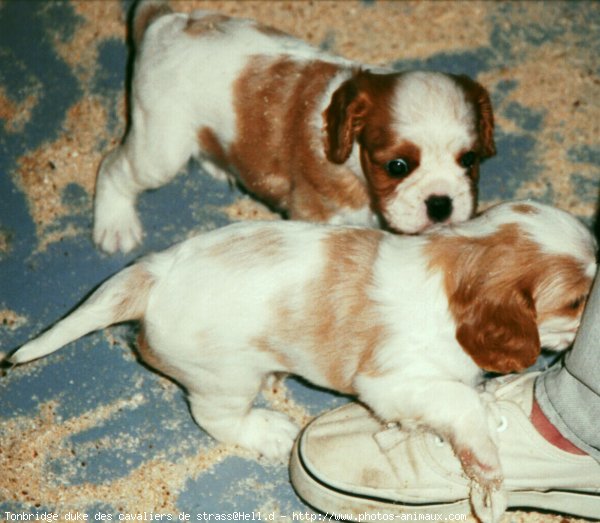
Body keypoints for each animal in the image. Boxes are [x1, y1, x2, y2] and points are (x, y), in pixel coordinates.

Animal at [8, 202, 596, 523]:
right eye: (576, 302)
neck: (457, 264)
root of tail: (152, 274)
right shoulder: (392, 380)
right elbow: (458, 403)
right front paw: (489, 466)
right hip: (225, 377)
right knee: (215, 417)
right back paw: (268, 431)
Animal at [95, 0, 496, 254]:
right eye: (397, 166)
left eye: (469, 160)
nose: (441, 204)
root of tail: (167, 23)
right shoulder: (315, 213)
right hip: (159, 149)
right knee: (114, 168)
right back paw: (115, 225)